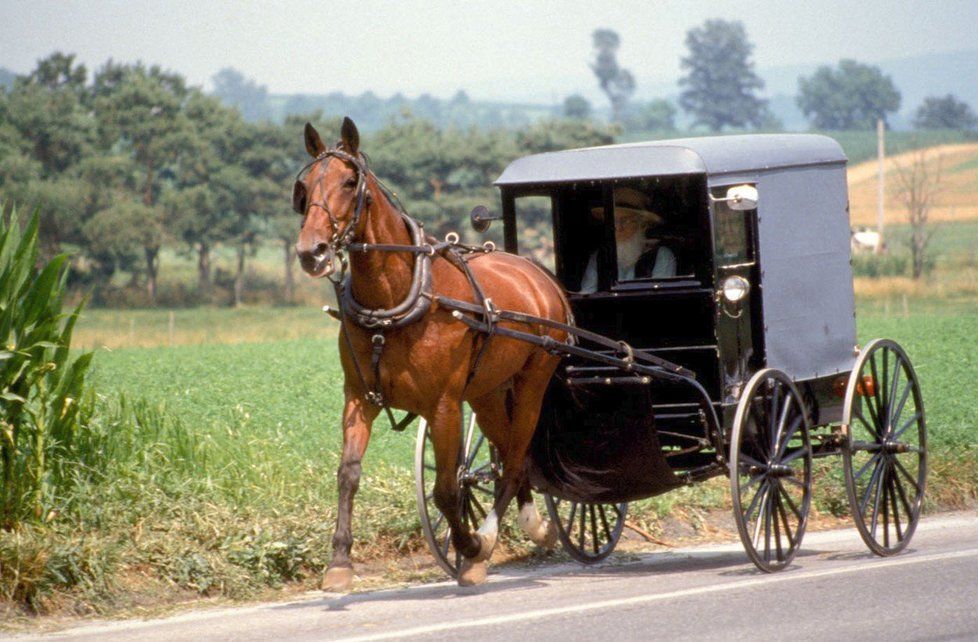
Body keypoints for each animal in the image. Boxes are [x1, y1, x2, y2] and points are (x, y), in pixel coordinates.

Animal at [292, 117, 564, 588]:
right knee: (508, 454)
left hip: (533, 382)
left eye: (349, 182)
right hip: (487, 393)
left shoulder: (443, 406)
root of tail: (536, 272)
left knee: (514, 459)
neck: (396, 301)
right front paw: (339, 562)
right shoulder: (358, 397)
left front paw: (470, 547)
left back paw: (496, 538)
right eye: (305, 186)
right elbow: (348, 475)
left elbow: (447, 490)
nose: (312, 252)